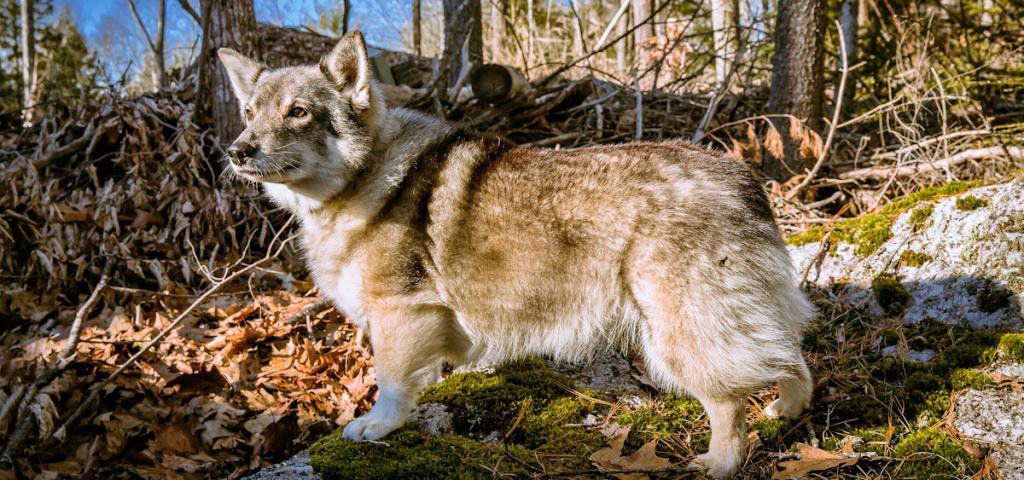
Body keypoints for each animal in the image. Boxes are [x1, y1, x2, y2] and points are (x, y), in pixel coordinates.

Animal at [218, 31, 815, 476]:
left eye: (297, 112)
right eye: (248, 112)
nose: (236, 150)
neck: (362, 179)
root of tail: (741, 178)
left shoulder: (400, 314)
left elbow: (391, 383)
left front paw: (379, 425)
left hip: (678, 331)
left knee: (729, 401)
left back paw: (720, 462)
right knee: (792, 360)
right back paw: (786, 411)